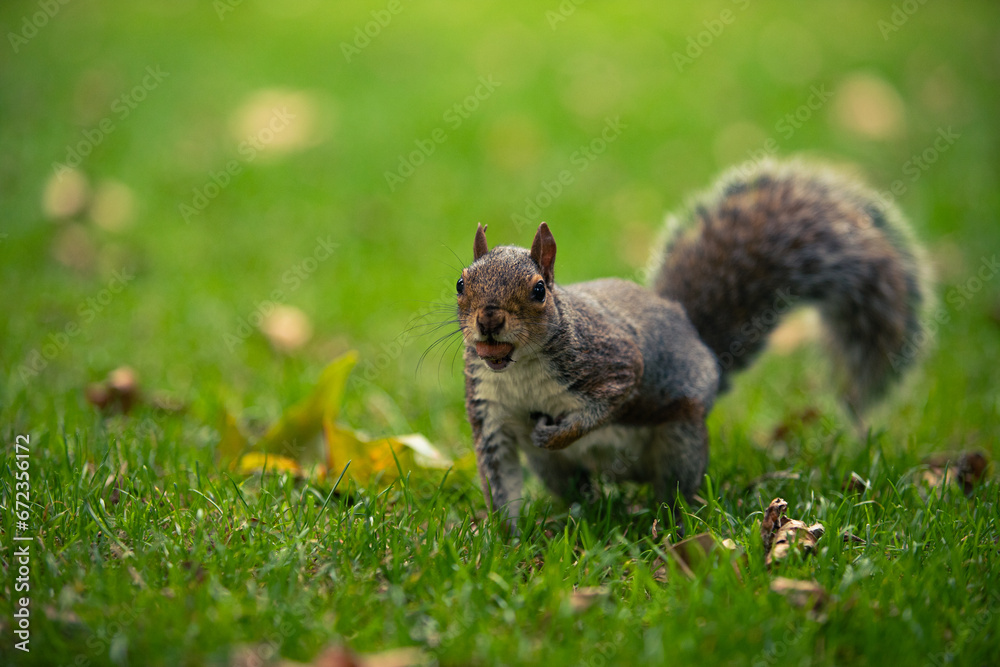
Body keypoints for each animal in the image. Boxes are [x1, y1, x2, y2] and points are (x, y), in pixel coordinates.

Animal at [457, 160, 929, 528]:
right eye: (461, 283)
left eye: (539, 290)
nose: (489, 319)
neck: (519, 368)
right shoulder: (489, 410)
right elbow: (499, 478)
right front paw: (506, 537)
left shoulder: (610, 359)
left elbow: (609, 399)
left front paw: (558, 433)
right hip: (556, 472)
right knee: (578, 489)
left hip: (680, 439)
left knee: (674, 488)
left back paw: (673, 521)